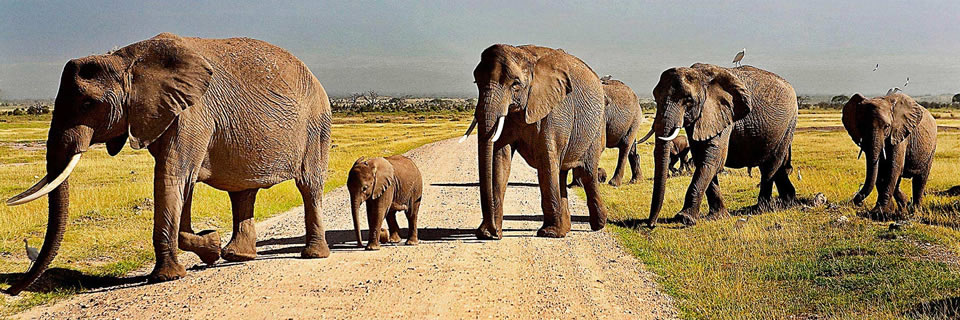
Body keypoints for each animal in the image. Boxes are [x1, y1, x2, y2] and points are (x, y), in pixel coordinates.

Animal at [4, 33, 334, 296]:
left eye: (87, 104)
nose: (10, 291)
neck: (125, 60)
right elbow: (179, 184)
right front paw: (210, 247)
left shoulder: (192, 114)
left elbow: (172, 177)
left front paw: (169, 275)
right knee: (242, 192)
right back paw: (237, 257)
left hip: (316, 126)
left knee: (309, 186)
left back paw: (313, 256)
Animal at [460, 43, 608, 239]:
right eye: (477, 82)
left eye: (515, 84)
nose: (493, 232)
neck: (526, 57)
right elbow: (500, 158)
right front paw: (486, 234)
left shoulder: (555, 110)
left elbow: (546, 158)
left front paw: (549, 233)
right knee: (561, 172)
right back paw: (566, 228)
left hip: (596, 128)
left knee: (587, 172)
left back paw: (597, 225)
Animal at [644, 63, 804, 228]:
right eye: (655, 98)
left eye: (688, 100)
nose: (651, 224)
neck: (700, 75)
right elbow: (702, 159)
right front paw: (717, 216)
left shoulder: (723, 114)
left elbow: (712, 160)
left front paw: (684, 218)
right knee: (775, 166)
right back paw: (788, 202)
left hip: (788, 125)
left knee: (771, 166)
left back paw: (761, 209)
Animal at [844, 91, 932, 219]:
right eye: (862, 126)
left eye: (887, 126)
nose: (858, 202)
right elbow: (880, 171)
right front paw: (891, 209)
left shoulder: (899, 133)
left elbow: (893, 168)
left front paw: (878, 213)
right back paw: (904, 206)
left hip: (930, 150)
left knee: (920, 179)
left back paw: (915, 212)